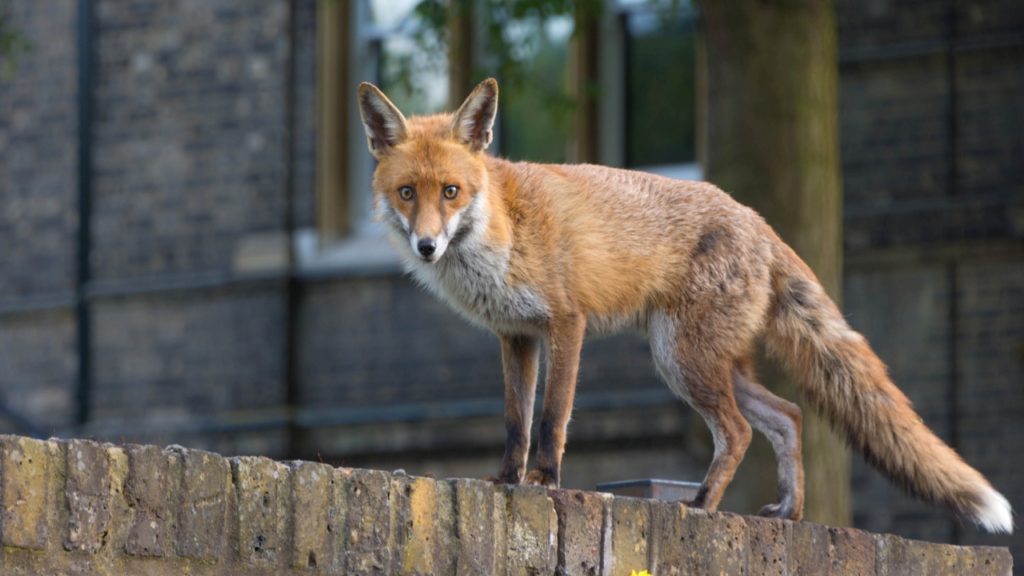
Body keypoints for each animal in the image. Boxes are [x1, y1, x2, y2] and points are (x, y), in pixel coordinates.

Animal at [356, 77, 1011, 532]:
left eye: (451, 192)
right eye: (407, 193)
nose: (427, 245)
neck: (502, 229)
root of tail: (756, 218)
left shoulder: (567, 322)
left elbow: (551, 418)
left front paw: (544, 482)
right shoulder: (516, 336)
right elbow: (516, 422)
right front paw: (504, 481)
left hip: (681, 359)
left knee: (740, 432)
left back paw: (701, 505)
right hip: (702, 361)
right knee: (788, 415)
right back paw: (789, 512)